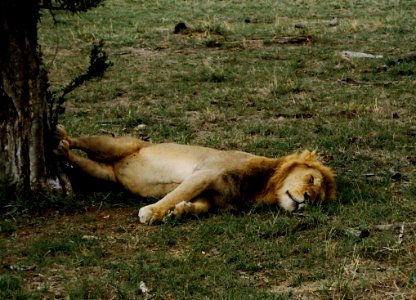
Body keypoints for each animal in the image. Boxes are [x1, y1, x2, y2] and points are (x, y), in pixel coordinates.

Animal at [55, 125, 336, 224]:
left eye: (319, 200)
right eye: (311, 179)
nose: (308, 200)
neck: (263, 187)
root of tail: (117, 166)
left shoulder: (213, 198)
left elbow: (196, 205)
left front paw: (179, 212)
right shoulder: (206, 173)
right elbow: (176, 193)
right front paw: (152, 213)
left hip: (106, 173)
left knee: (84, 161)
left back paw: (64, 151)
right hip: (117, 145)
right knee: (85, 140)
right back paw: (61, 137)